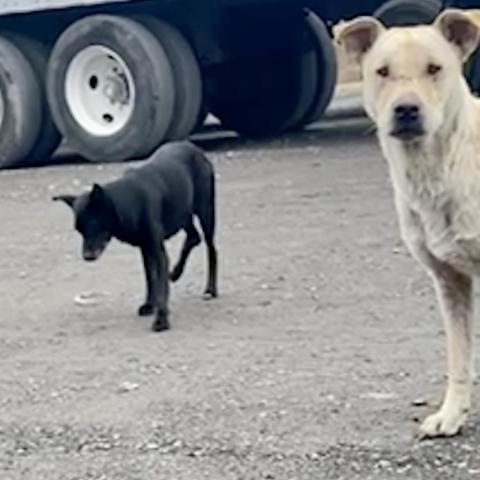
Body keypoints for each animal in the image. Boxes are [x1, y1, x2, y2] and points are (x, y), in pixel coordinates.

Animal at [54, 141, 218, 332]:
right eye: (79, 230)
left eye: (93, 225)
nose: (87, 257)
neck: (130, 200)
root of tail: (192, 147)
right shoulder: (145, 249)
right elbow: (150, 278)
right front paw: (149, 305)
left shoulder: (157, 251)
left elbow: (161, 285)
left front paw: (161, 320)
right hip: (183, 213)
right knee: (194, 237)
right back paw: (176, 272)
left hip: (205, 211)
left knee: (211, 248)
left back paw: (210, 289)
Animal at [338, 10, 480, 438]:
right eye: (382, 71)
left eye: (435, 68)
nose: (406, 109)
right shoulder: (451, 282)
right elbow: (459, 358)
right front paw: (451, 414)